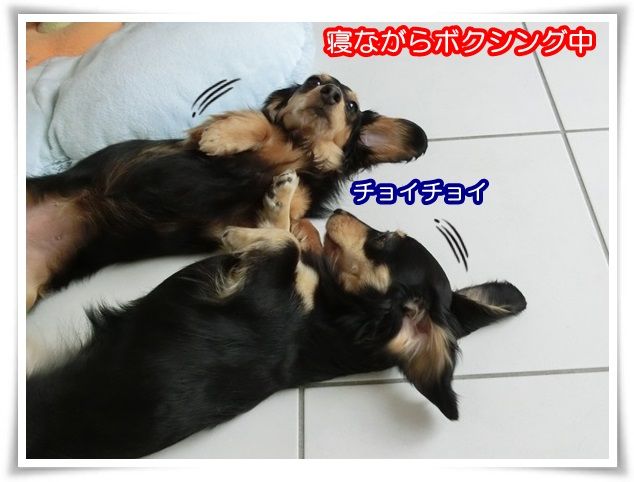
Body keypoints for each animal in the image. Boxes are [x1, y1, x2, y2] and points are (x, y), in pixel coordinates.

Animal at [26, 73, 427, 310]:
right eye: (313, 81)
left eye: (352, 106)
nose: (328, 92)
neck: (299, 148)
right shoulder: (199, 142)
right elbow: (257, 123)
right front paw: (221, 137)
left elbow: (296, 221)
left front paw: (301, 230)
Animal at [26, 170, 526, 459]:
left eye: (383, 241)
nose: (339, 209)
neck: (330, 313)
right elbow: (288, 235)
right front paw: (281, 200)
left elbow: (283, 245)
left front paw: (243, 230)